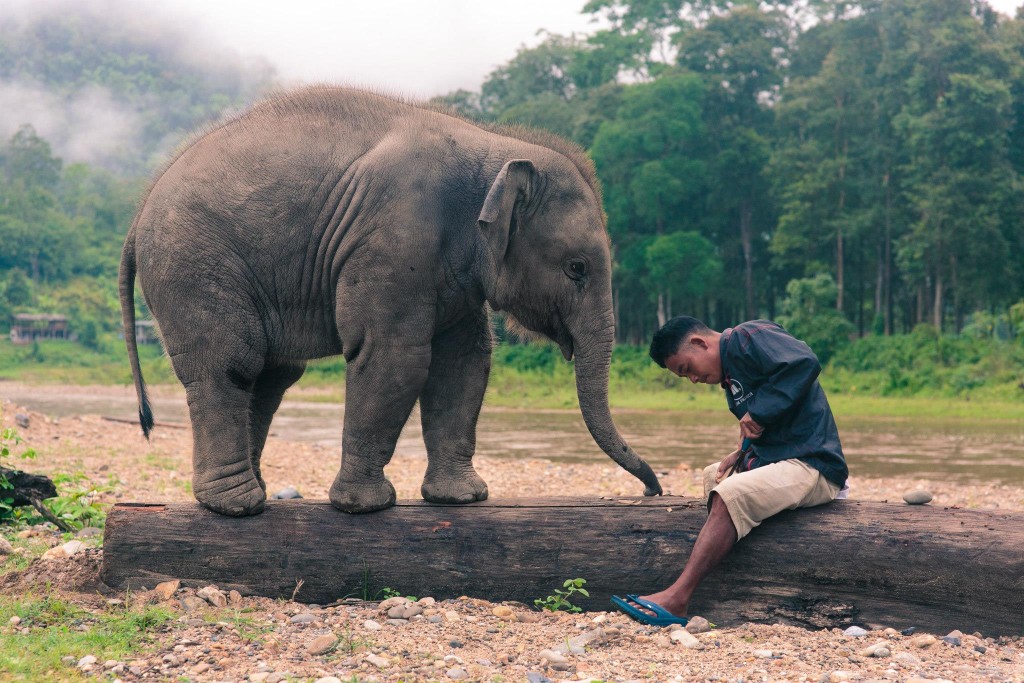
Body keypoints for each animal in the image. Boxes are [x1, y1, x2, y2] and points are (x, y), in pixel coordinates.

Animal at [121, 85, 663, 516]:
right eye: (577, 269)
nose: (652, 489)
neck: (492, 145)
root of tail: (139, 211)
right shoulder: (393, 239)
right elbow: (395, 357)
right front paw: (364, 507)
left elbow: (464, 363)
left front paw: (462, 499)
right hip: (194, 264)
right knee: (232, 364)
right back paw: (235, 507)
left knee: (271, 376)